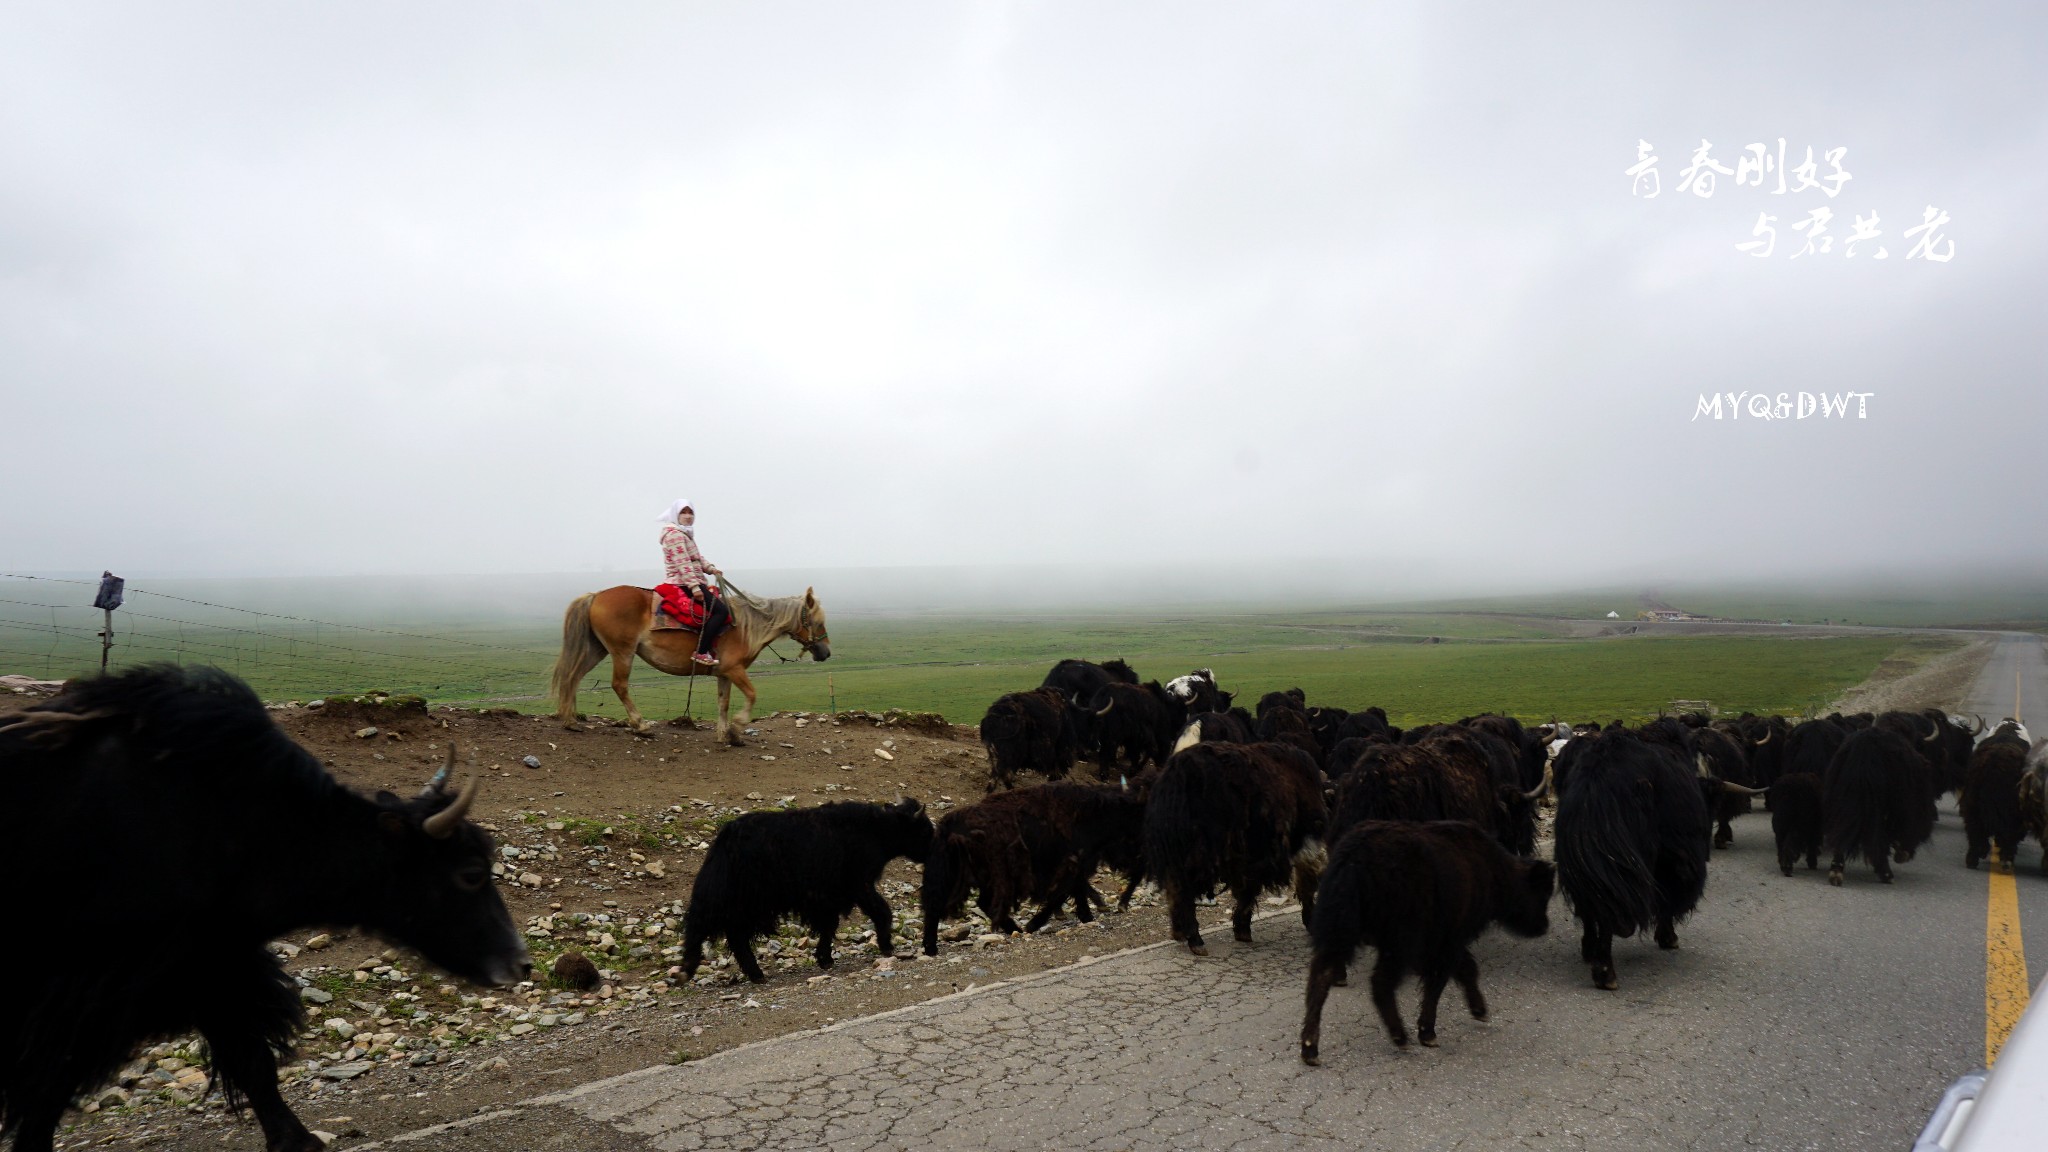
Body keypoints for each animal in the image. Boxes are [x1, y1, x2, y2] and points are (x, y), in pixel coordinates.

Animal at [552, 586, 831, 737]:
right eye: (818, 622)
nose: (826, 653)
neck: (747, 626)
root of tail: (596, 595)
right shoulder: (734, 669)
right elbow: (751, 694)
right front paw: (737, 728)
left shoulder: (723, 673)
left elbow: (723, 702)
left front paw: (724, 735)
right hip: (622, 651)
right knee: (619, 685)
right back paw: (641, 725)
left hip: (597, 648)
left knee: (573, 676)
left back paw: (570, 721)